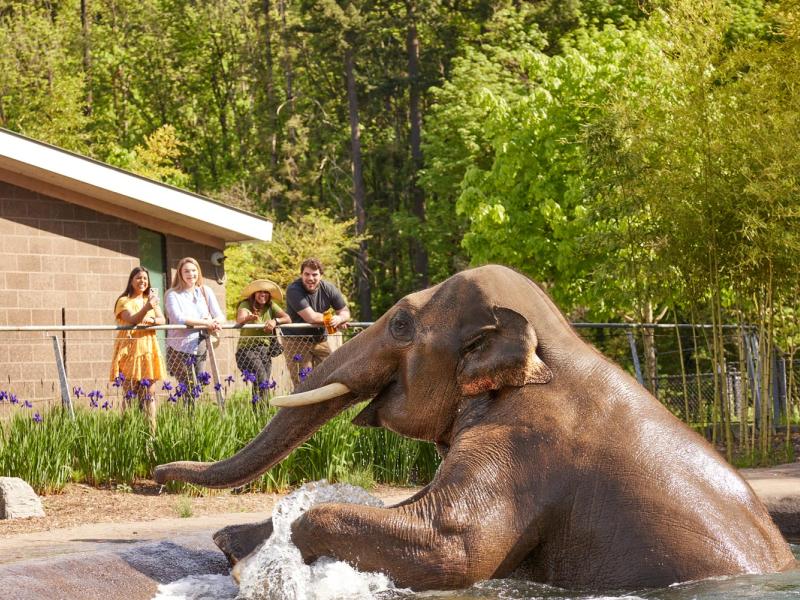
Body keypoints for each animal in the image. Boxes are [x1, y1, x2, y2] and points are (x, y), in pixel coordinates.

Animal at [155, 266, 792, 592]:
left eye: (402, 324)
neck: (556, 344)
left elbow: (456, 544)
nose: (157, 474)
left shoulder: (527, 444)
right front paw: (232, 539)